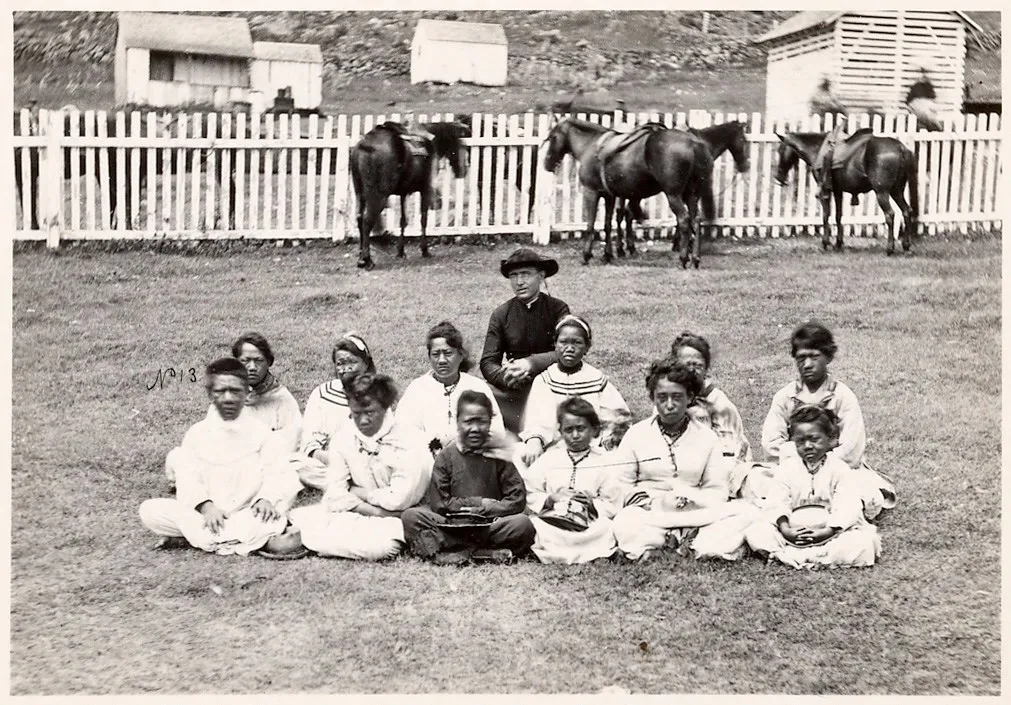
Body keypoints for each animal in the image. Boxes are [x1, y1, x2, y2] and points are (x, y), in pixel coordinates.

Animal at [351, 120, 469, 269]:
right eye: (460, 145)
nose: (463, 170)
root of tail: (364, 145)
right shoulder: (426, 189)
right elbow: (423, 219)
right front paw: (424, 250)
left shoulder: (403, 193)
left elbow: (403, 221)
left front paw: (401, 251)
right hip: (378, 196)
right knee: (367, 221)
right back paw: (366, 259)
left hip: (360, 194)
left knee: (360, 219)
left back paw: (361, 255)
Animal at [541, 118, 715, 267]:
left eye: (552, 137)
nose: (547, 163)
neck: (590, 146)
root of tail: (693, 143)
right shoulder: (609, 195)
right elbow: (607, 224)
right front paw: (607, 255)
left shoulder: (591, 192)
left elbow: (590, 226)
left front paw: (586, 255)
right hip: (692, 195)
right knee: (696, 220)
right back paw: (695, 258)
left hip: (673, 195)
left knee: (684, 221)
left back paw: (683, 258)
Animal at [768, 129, 922, 255]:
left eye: (780, 150)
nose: (778, 177)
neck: (818, 149)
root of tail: (901, 148)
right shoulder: (838, 191)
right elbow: (838, 216)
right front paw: (838, 243)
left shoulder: (825, 192)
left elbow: (826, 215)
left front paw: (826, 243)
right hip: (896, 191)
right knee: (907, 211)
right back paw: (906, 246)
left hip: (882, 192)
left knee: (890, 215)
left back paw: (890, 248)